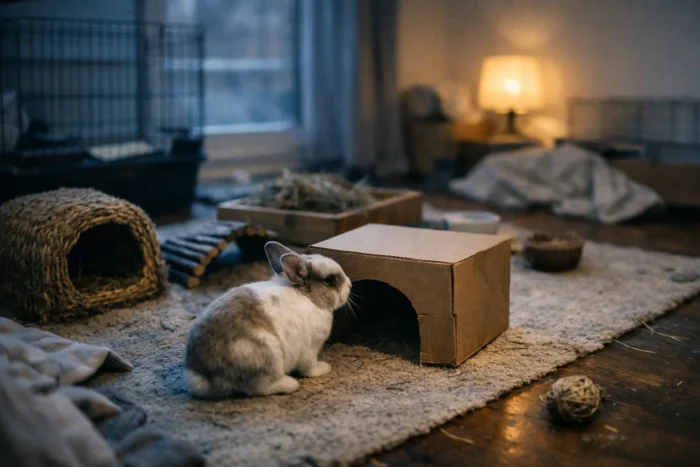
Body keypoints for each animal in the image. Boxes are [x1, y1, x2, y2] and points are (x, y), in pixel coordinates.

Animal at [184, 241, 352, 398]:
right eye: (329, 279)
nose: (350, 285)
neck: (309, 298)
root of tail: (202, 373)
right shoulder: (310, 349)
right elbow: (309, 368)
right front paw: (324, 368)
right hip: (267, 355)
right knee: (258, 387)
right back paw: (290, 384)